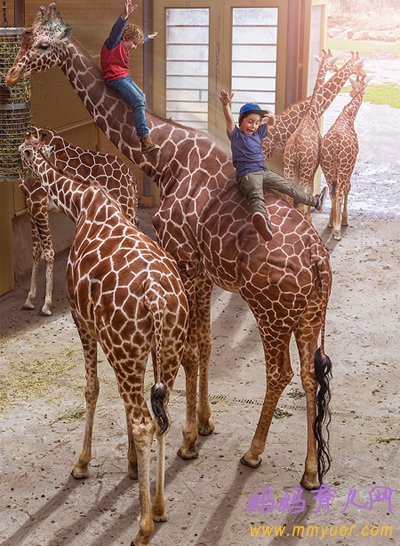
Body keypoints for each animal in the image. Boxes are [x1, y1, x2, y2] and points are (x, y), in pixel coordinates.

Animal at [19, 125, 138, 314]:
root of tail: (131, 178)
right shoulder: (31, 206)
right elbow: (36, 250)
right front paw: (29, 300)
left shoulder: (38, 204)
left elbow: (48, 252)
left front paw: (46, 304)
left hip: (123, 206)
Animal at [282, 50, 340, 221]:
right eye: (331, 62)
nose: (336, 67)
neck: (312, 113)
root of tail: (295, 150)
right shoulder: (314, 167)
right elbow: (309, 193)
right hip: (304, 169)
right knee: (300, 200)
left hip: (288, 168)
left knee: (287, 198)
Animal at [320, 76, 370, 240]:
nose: (354, 93)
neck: (348, 115)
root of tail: (335, 146)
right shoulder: (351, 166)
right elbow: (349, 188)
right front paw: (344, 221)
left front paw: (332, 222)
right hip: (343, 167)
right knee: (340, 192)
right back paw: (337, 231)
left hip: (327, 168)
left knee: (332, 191)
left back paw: (331, 224)